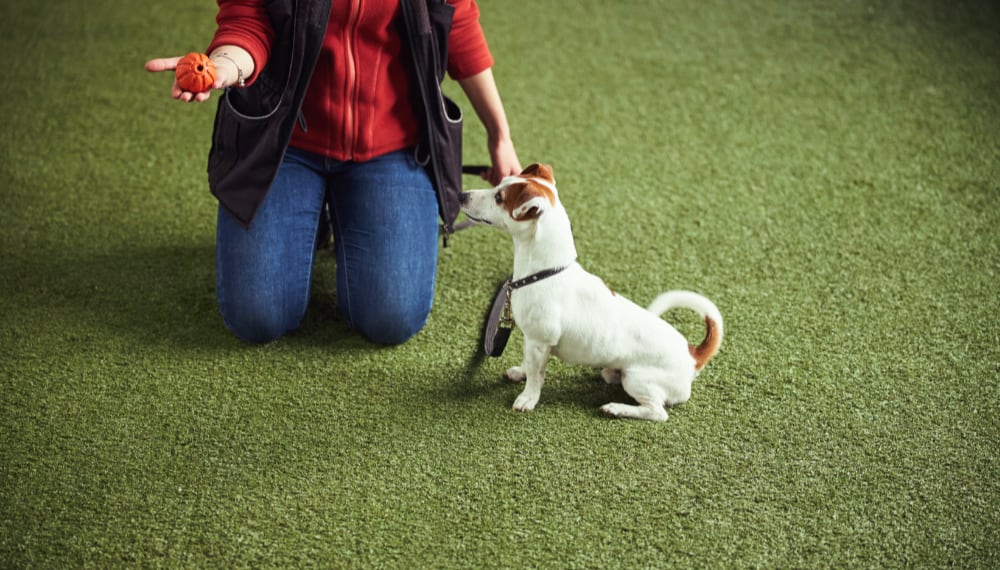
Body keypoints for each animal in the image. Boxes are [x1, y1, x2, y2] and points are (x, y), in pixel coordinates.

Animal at [458, 162, 724, 420]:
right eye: (499, 183)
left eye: (499, 198)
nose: (461, 195)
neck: (546, 271)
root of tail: (693, 355)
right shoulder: (532, 341)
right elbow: (530, 364)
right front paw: (520, 373)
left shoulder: (540, 340)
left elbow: (536, 375)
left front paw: (528, 398)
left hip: (637, 379)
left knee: (657, 412)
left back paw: (617, 408)